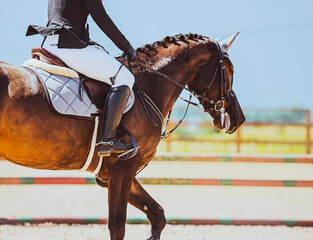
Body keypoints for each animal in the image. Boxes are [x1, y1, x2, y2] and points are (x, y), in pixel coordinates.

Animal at [0, 32, 244, 240]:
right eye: (230, 70)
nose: (237, 119)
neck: (149, 84)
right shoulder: (122, 168)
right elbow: (117, 226)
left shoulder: (115, 173)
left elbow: (157, 215)